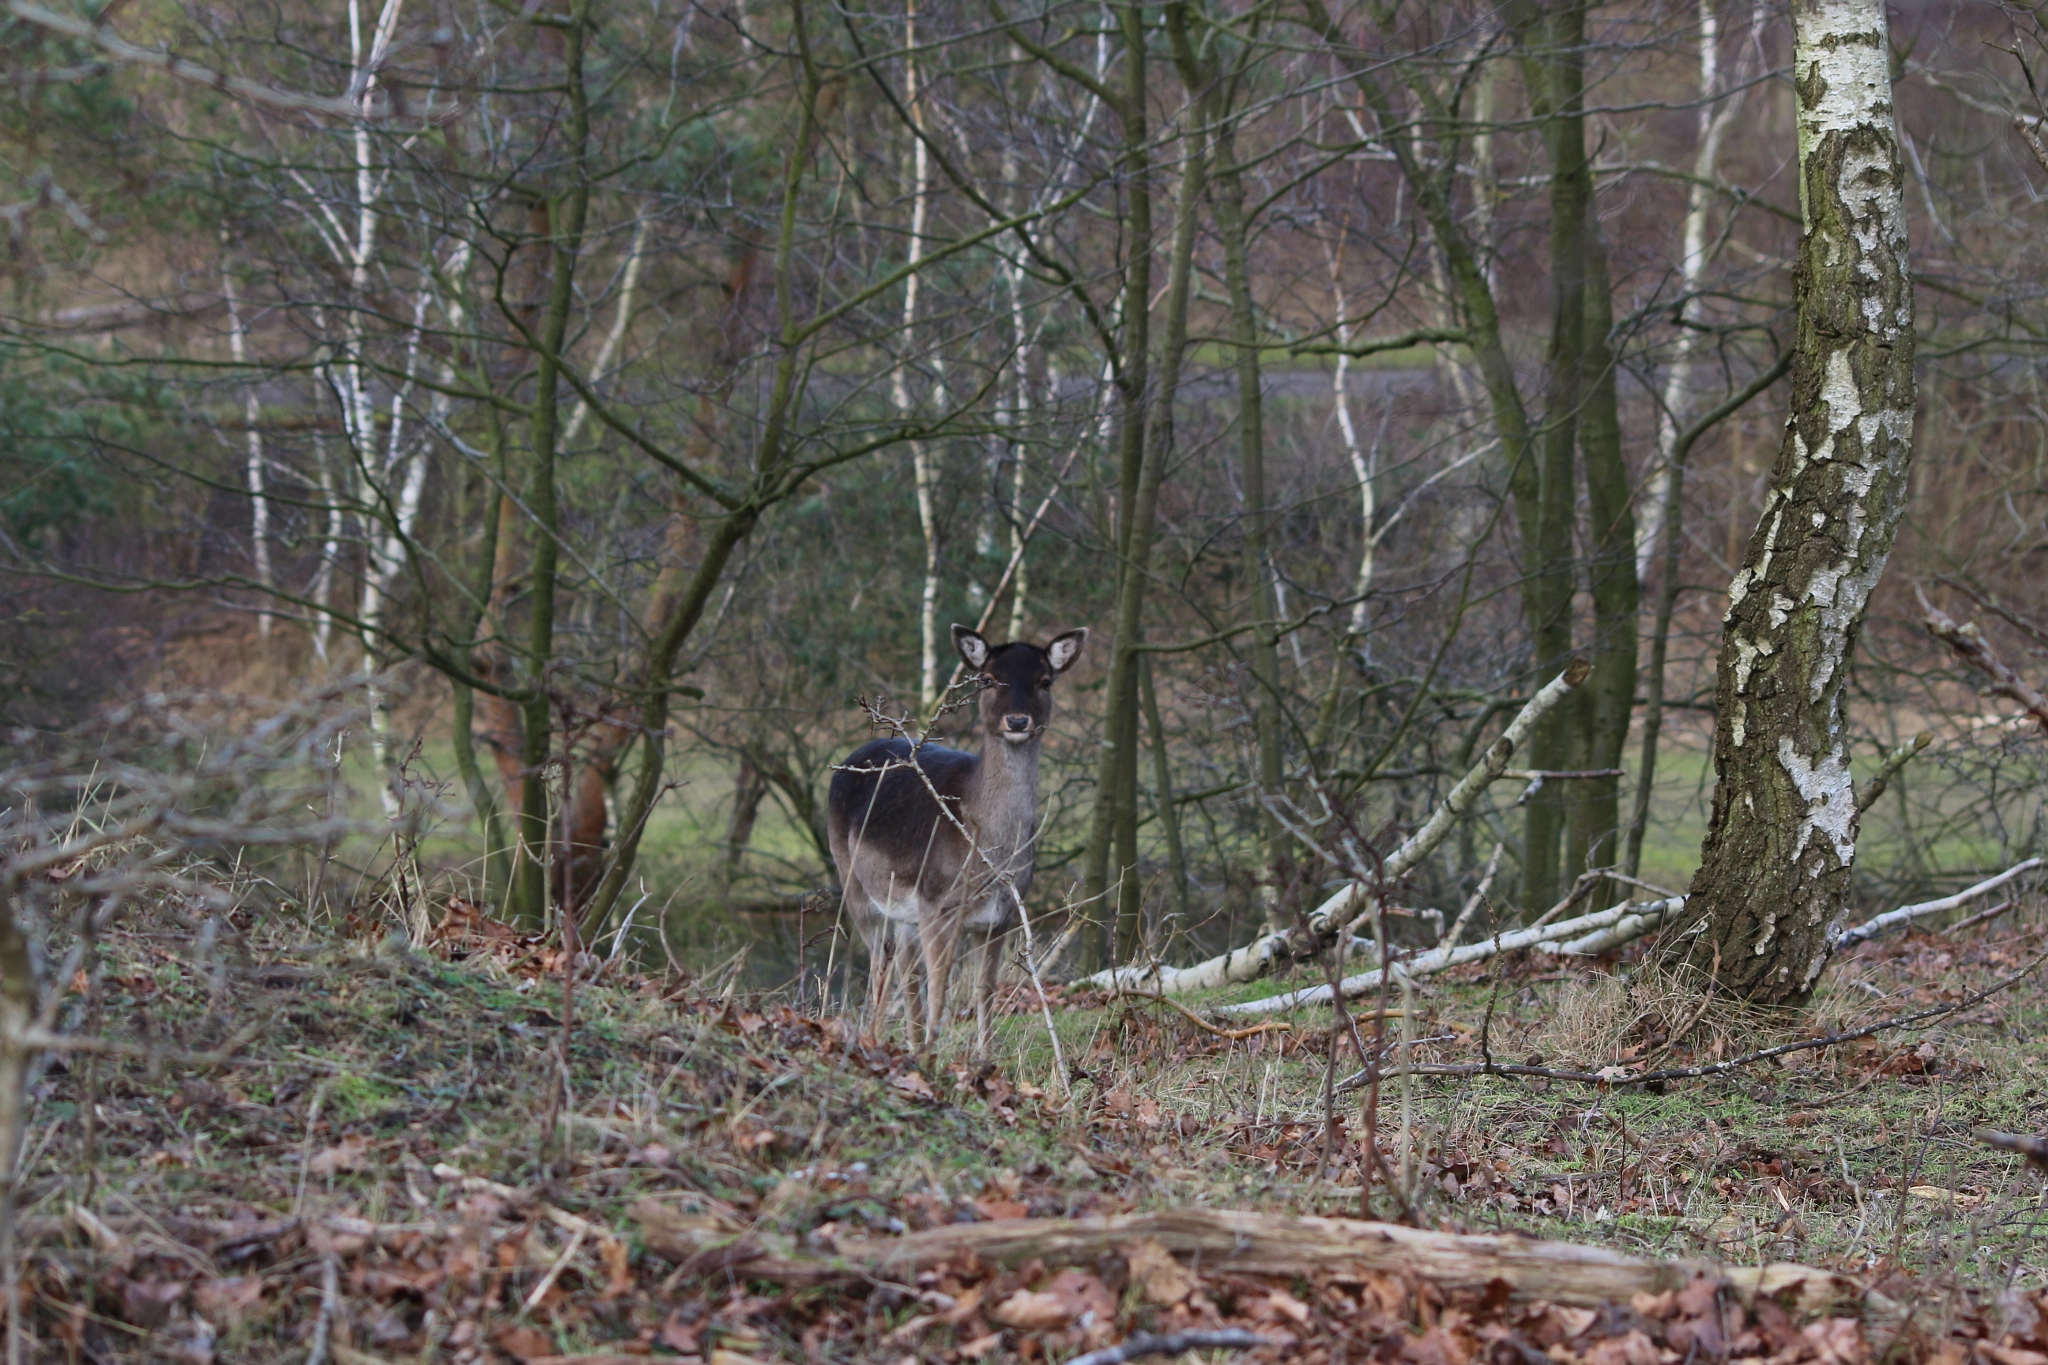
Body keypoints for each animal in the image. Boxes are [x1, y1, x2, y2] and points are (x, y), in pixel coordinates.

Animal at [828, 623, 1088, 1052]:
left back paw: (909, 1041)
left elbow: (985, 989)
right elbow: (940, 988)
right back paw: (876, 1039)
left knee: (905, 968)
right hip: (854, 883)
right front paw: (933, 1056)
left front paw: (984, 1056)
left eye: (1045, 681)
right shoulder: (937, 905)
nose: (1018, 720)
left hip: (906, 912)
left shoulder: (1002, 915)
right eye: (987, 679)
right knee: (882, 962)